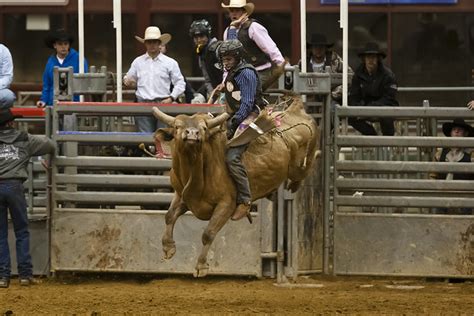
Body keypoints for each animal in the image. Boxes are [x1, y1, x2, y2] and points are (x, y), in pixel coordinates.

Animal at [152, 94, 320, 276]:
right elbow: (169, 216)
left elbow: (208, 233)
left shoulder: (226, 204)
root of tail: (295, 109)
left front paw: (201, 266)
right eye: (177, 126)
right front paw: (168, 247)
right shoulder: (182, 196)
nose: (192, 134)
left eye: (203, 128)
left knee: (309, 164)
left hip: (298, 167)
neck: (194, 171)